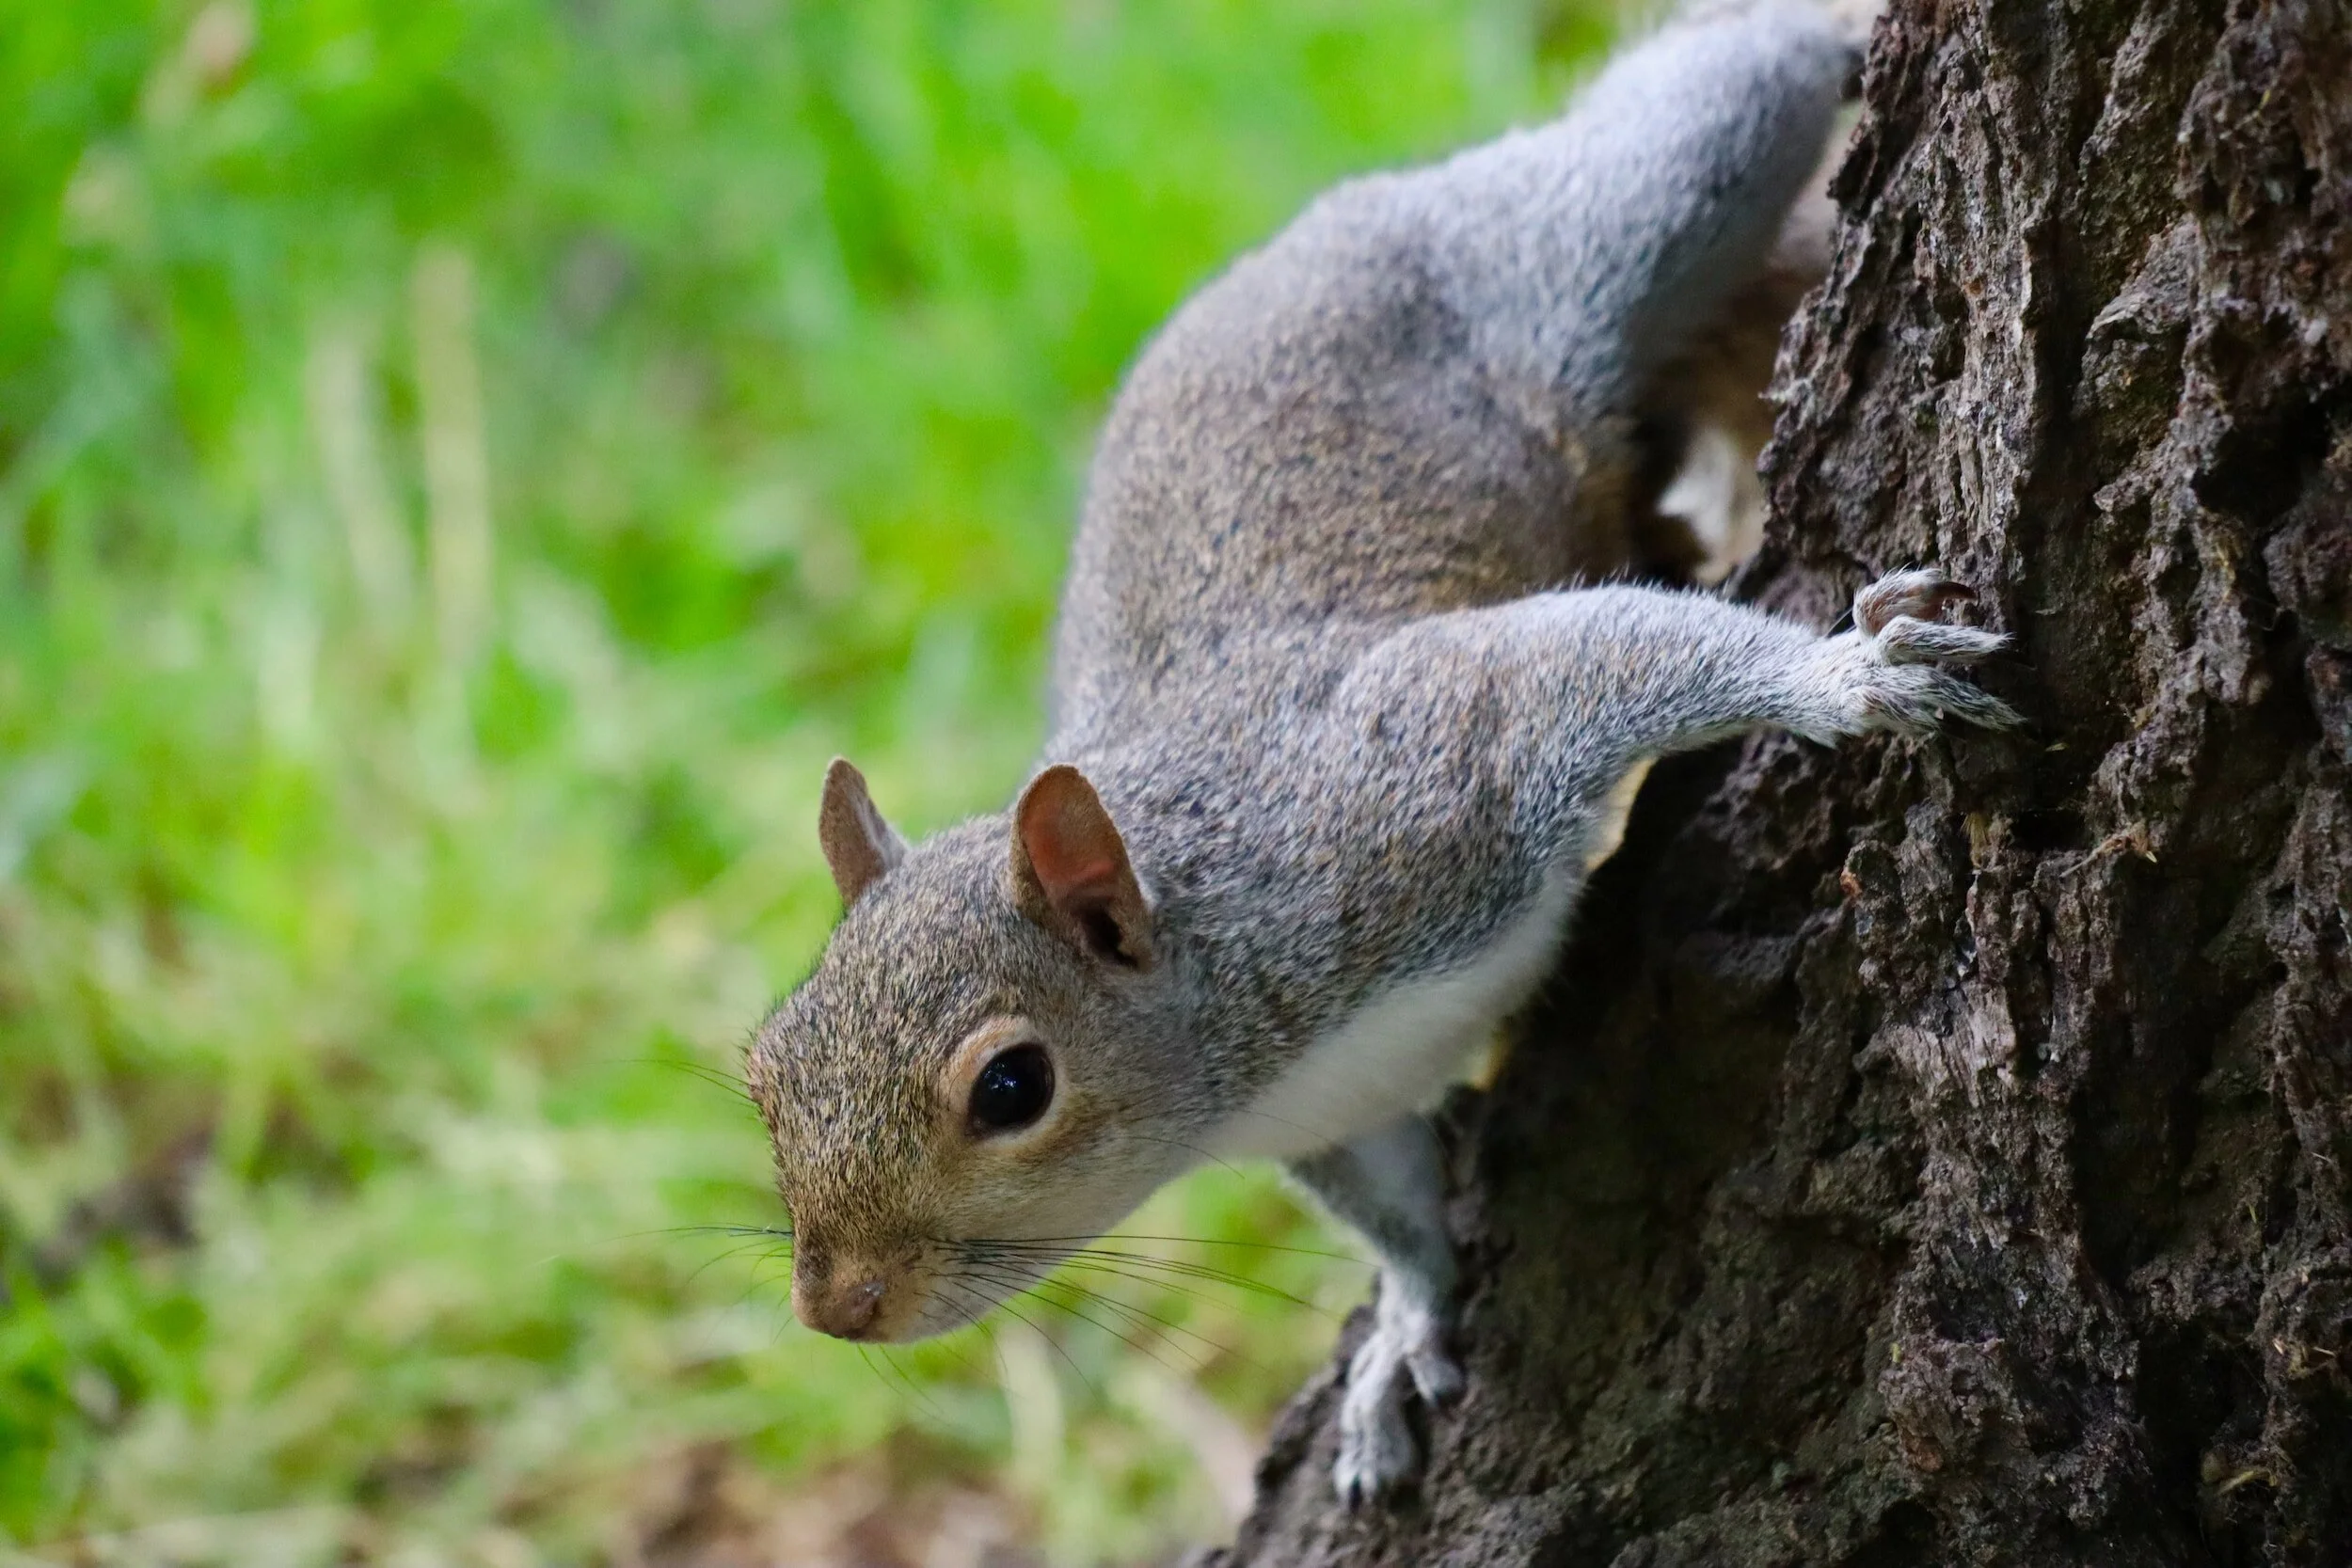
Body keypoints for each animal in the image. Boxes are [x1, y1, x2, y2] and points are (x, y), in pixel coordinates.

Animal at [748, 0, 2016, 1506]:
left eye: (1012, 1086)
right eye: (764, 1068)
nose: (835, 1304)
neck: (1245, 1023)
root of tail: (1349, 212)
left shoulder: (1416, 780)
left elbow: (1597, 659)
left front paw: (1844, 676)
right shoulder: (1334, 1119)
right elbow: (1402, 1209)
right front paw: (1406, 1327)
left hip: (1600, 244)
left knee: (1708, 106)